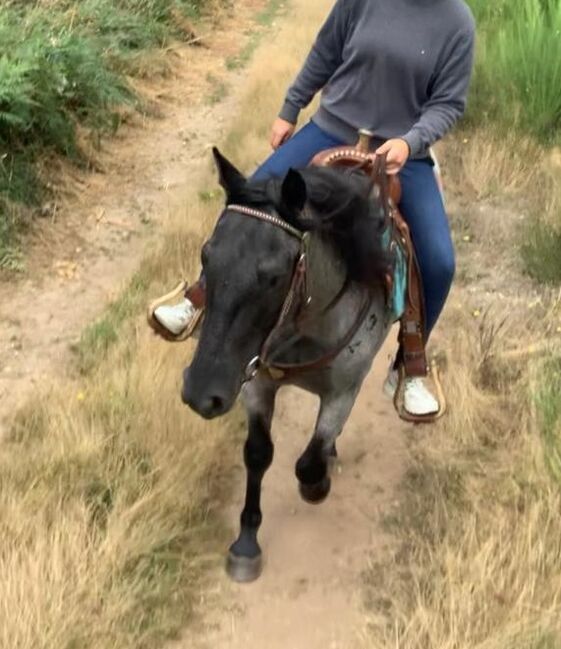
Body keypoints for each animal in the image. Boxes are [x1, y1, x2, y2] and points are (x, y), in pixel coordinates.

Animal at [184, 148, 394, 584]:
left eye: (274, 277)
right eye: (206, 256)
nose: (200, 394)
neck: (308, 327)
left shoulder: (344, 390)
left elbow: (309, 465)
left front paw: (318, 485)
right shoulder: (255, 382)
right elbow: (258, 452)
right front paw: (246, 544)